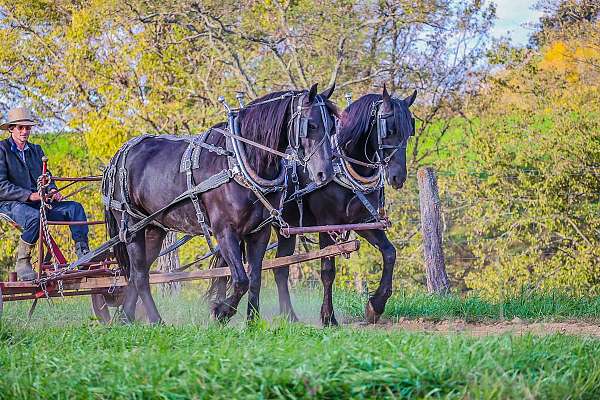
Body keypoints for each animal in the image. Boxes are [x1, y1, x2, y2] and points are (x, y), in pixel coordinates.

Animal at [104, 83, 338, 322]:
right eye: (311, 125)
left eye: (332, 127)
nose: (325, 173)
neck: (240, 163)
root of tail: (119, 155)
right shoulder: (224, 231)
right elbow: (241, 280)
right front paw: (220, 311)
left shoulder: (258, 232)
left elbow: (254, 279)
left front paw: (252, 322)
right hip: (131, 227)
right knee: (140, 275)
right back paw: (156, 320)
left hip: (153, 228)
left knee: (137, 273)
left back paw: (126, 318)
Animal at [274, 85, 418, 324]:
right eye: (389, 129)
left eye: (409, 132)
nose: (398, 177)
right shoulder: (327, 224)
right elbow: (327, 270)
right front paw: (328, 316)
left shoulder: (363, 222)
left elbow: (389, 253)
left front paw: (375, 305)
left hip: (286, 228)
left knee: (280, 268)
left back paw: (288, 316)